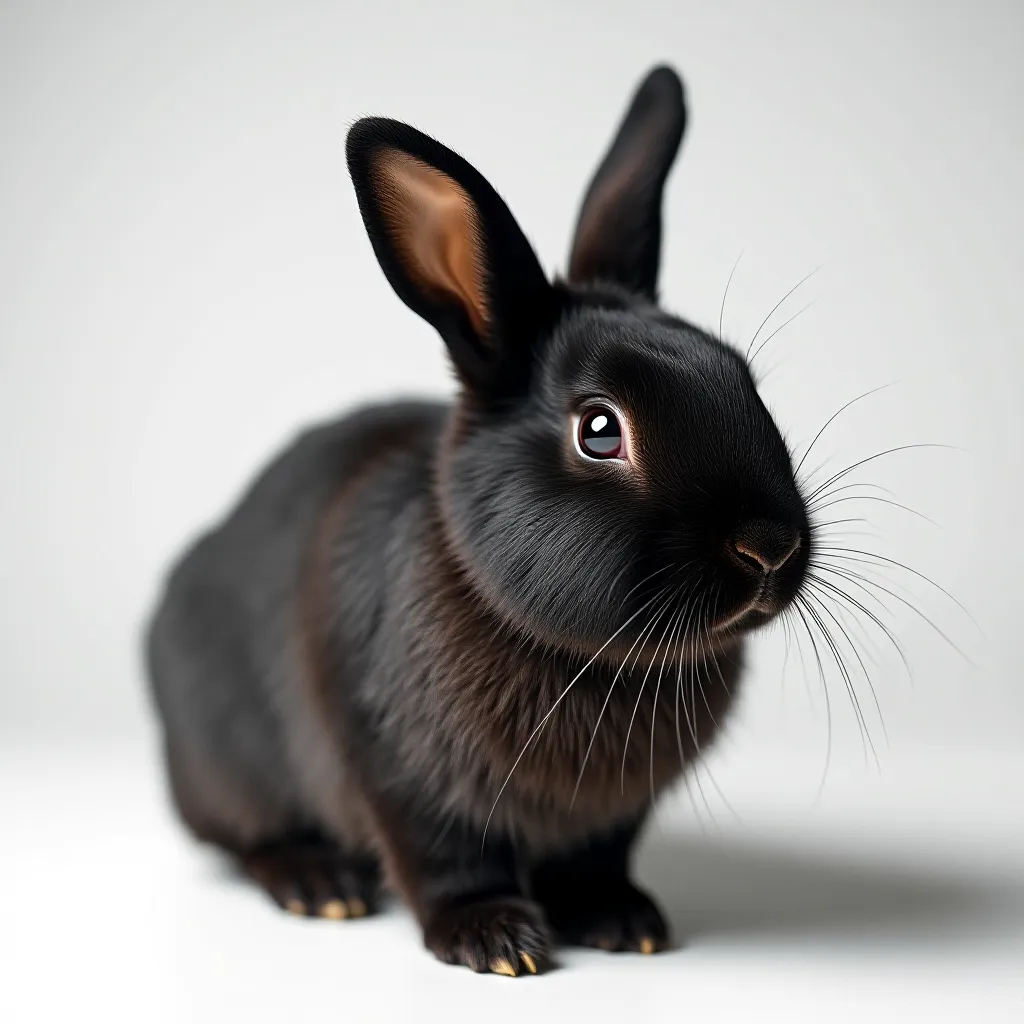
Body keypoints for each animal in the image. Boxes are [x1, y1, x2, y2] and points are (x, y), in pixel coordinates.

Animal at [145, 64, 810, 976]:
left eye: (743, 379)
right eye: (599, 429)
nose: (769, 547)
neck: (592, 659)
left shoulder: (611, 816)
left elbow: (596, 861)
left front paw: (625, 922)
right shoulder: (400, 773)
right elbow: (445, 857)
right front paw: (496, 940)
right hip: (231, 765)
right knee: (248, 838)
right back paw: (319, 884)